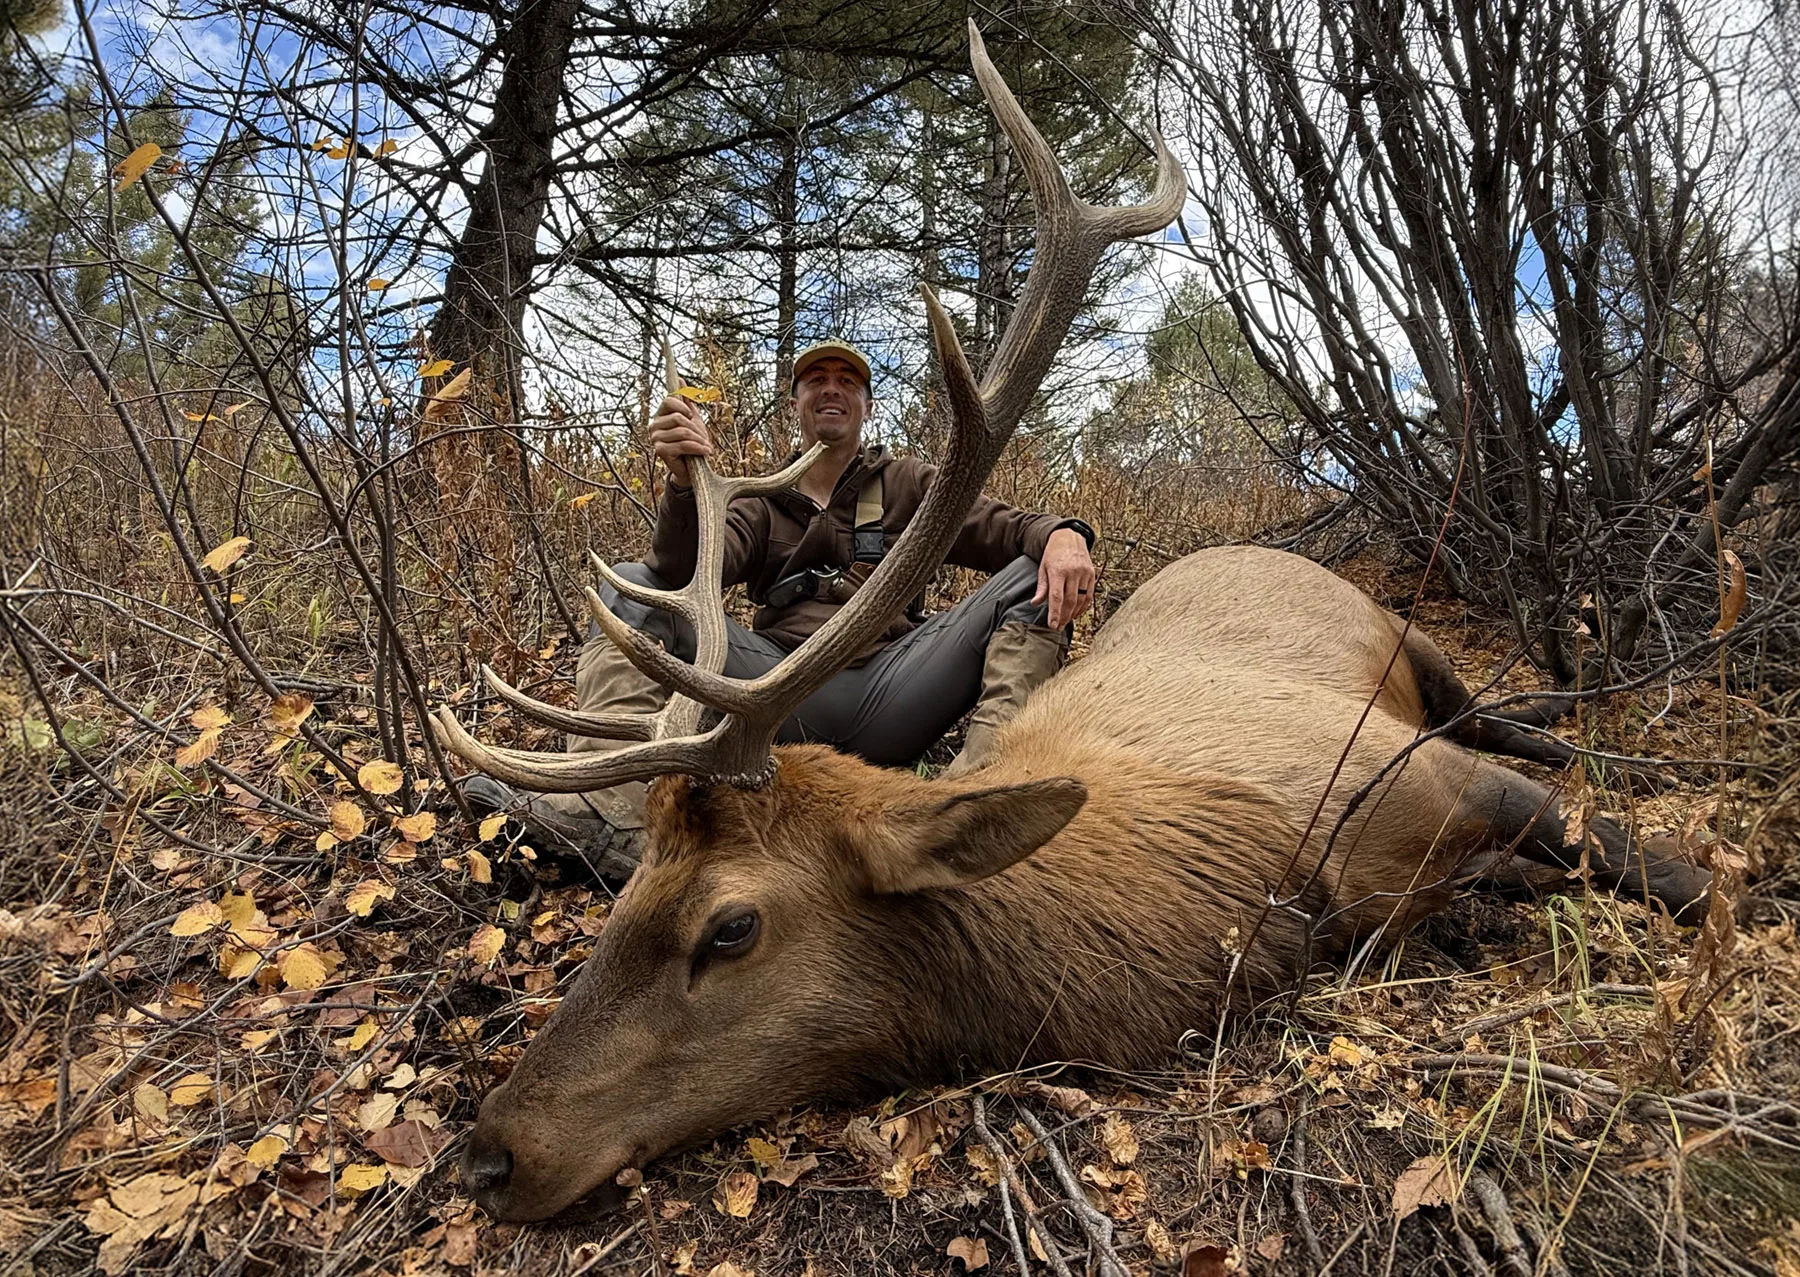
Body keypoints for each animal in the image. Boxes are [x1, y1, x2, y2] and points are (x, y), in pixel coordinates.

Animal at [429, 25, 1718, 1223]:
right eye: (631, 889)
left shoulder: (1421, 771)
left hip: (1414, 643)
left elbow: (1681, 876)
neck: (1260, 884)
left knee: (1504, 712)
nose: (491, 1151)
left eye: (731, 925)